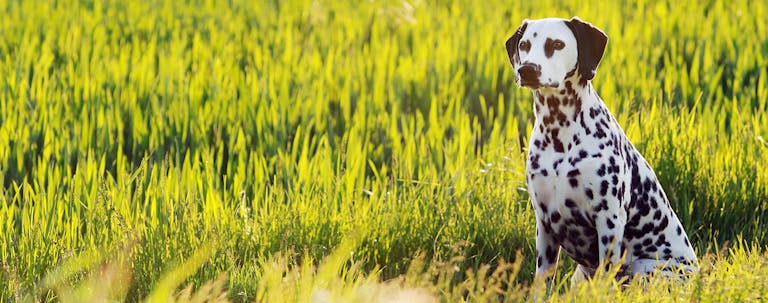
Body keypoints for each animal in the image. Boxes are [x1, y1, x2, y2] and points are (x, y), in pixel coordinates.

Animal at [508, 17, 700, 286]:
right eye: (524, 44)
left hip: (645, 267)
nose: (526, 70)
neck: (560, 136)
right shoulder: (544, 225)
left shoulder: (608, 221)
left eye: (556, 44)